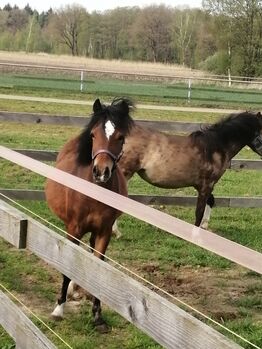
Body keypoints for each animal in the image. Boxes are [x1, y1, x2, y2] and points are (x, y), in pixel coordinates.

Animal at [45, 96, 134, 330]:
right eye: (93, 135)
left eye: (120, 137)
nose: (101, 172)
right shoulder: (73, 230)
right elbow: (67, 265)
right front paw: (58, 309)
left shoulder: (104, 232)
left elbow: (98, 267)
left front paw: (97, 316)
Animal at [118, 109, 262, 228]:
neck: (215, 148)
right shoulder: (206, 185)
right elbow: (199, 211)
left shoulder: (204, 185)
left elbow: (211, 201)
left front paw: (204, 226)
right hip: (125, 172)